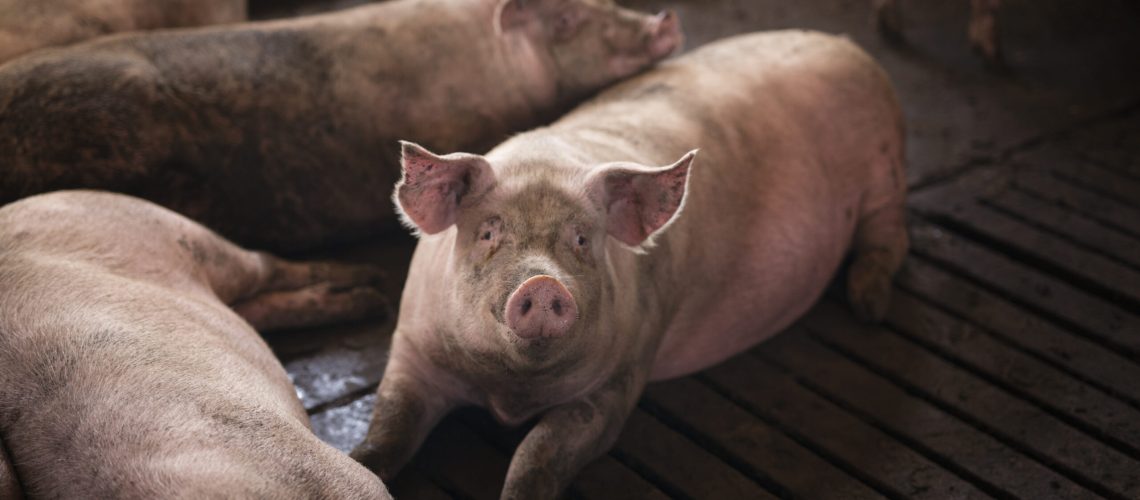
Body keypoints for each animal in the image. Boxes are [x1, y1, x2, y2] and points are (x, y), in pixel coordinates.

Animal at [0, 190, 391, 498]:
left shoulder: (333, 473)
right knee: (260, 306)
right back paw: (369, 297)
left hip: (183, 233)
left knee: (266, 264)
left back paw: (371, 285)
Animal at [351, 30, 909, 498]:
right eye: (488, 232)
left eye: (582, 239)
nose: (542, 284)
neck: (509, 393)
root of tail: (845, 44)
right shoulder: (411, 351)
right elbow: (388, 428)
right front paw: (360, 464)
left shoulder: (620, 378)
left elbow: (537, 456)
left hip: (886, 169)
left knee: (890, 237)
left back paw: (870, 308)